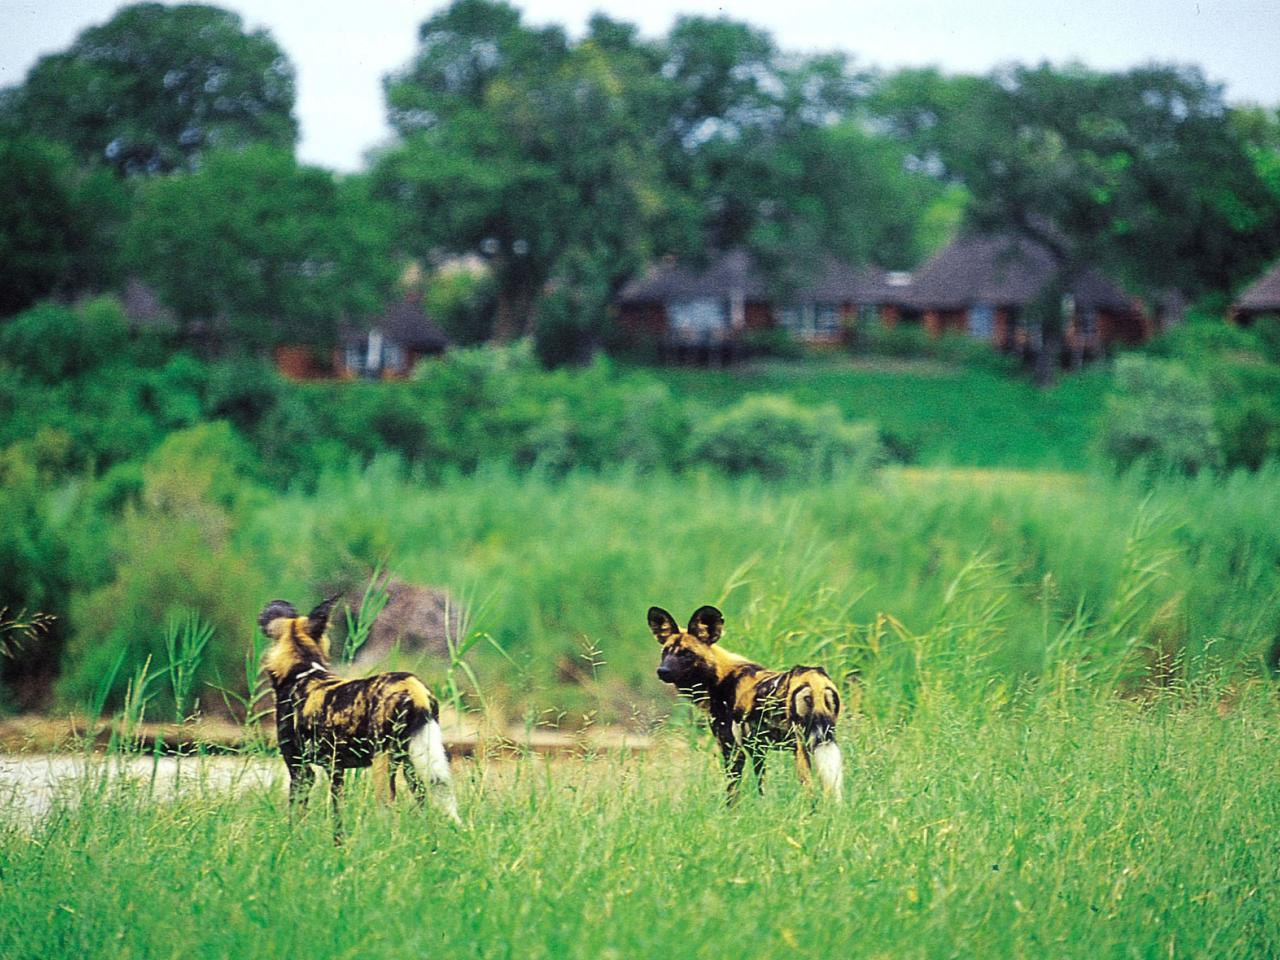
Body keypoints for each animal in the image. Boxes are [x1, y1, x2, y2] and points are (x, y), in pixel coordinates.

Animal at [258, 599, 460, 829]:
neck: (303, 669)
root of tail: (414, 688)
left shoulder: (300, 768)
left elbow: (298, 814)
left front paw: (295, 834)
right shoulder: (335, 768)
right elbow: (337, 815)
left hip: (383, 763)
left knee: (388, 810)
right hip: (413, 763)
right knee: (425, 800)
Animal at [650, 609, 839, 803]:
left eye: (686, 654)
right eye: (665, 652)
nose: (662, 671)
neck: (717, 677)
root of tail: (813, 677)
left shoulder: (732, 749)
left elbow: (732, 793)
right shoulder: (757, 749)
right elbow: (761, 787)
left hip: (801, 749)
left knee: (811, 794)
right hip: (822, 743)